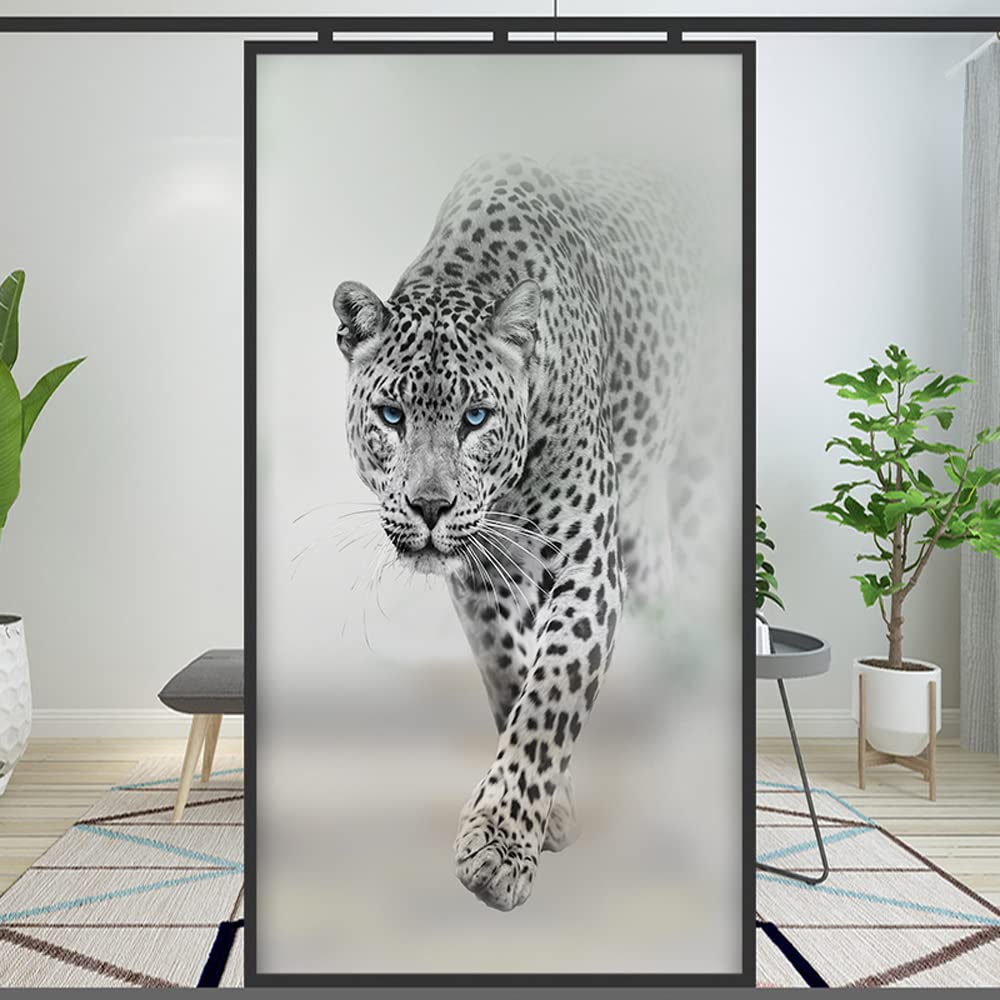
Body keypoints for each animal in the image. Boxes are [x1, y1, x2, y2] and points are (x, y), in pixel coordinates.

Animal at [332, 152, 704, 912]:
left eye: (476, 417)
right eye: (390, 415)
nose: (430, 506)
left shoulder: (590, 572)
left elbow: (551, 694)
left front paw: (499, 847)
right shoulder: (483, 580)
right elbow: (511, 678)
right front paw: (548, 812)